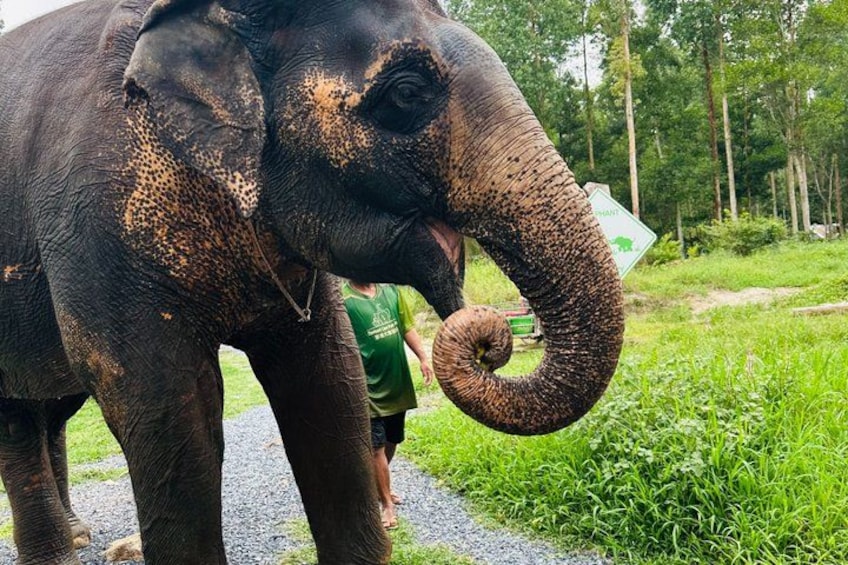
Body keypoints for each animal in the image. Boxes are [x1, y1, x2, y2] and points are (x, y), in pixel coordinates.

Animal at [0, 0, 625, 563]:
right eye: (406, 94)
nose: (491, 335)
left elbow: (330, 379)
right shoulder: (96, 228)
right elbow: (164, 405)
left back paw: (74, 537)